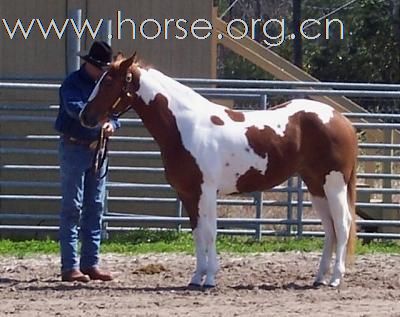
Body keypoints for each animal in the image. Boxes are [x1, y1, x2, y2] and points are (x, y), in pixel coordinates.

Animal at [79, 55, 358, 288]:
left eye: (108, 82)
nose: (84, 116)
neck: (186, 127)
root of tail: (340, 118)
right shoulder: (188, 195)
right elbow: (197, 234)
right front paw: (196, 278)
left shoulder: (207, 191)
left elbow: (210, 232)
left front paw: (210, 279)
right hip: (316, 185)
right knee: (330, 229)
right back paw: (319, 278)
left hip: (334, 184)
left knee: (342, 225)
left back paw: (335, 279)